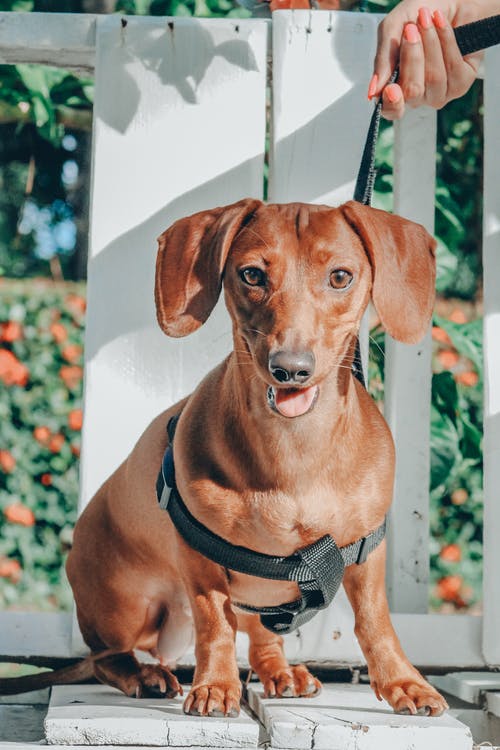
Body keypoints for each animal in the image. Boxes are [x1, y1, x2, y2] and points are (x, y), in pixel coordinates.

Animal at [61, 198, 446, 716]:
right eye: (251, 275)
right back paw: (145, 674)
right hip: (125, 608)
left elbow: (375, 621)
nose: (291, 369)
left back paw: (282, 673)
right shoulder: (200, 561)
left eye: (340, 277)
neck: (295, 452)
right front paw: (215, 685)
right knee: (106, 657)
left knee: (264, 641)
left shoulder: (366, 550)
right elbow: (215, 624)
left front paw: (404, 681)